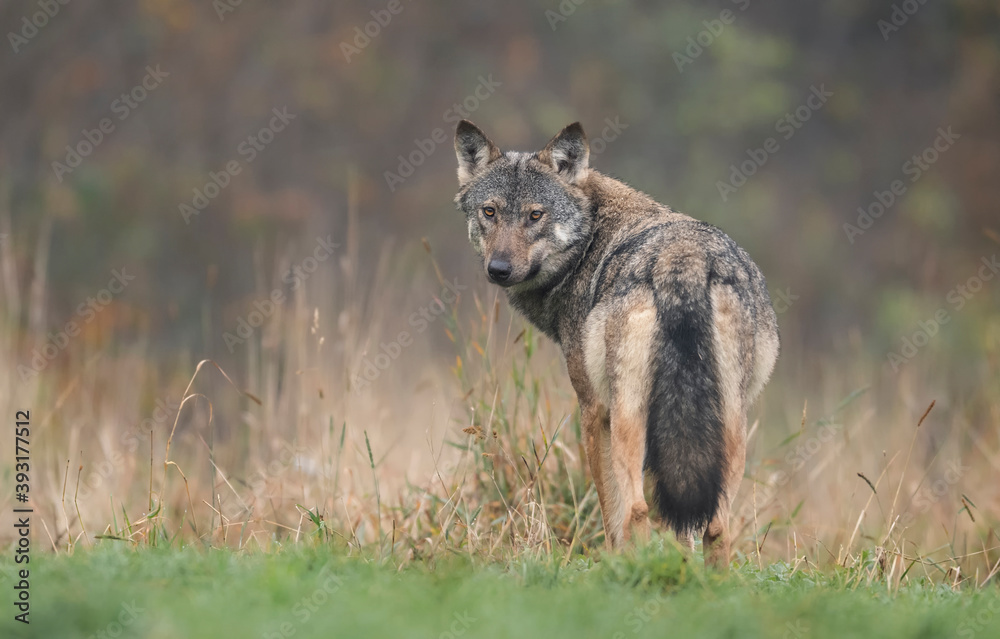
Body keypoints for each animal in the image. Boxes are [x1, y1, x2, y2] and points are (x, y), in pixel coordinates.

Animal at [452, 120, 779, 567]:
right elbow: (683, 530)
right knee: (715, 524)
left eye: (535, 215)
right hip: (729, 422)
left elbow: (612, 511)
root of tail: (682, 259)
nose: (498, 269)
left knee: (638, 509)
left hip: (629, 416)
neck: (590, 241)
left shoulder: (594, 411)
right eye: (490, 212)